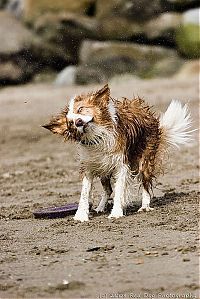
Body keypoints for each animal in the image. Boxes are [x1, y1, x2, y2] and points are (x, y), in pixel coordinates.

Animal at [43, 84, 193, 223]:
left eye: (80, 109)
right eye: (70, 123)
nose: (78, 122)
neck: (97, 137)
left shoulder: (121, 165)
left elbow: (119, 190)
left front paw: (116, 213)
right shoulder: (90, 166)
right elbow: (85, 193)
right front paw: (81, 216)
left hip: (144, 161)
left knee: (145, 184)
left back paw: (144, 206)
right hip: (103, 169)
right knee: (108, 190)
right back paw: (100, 208)